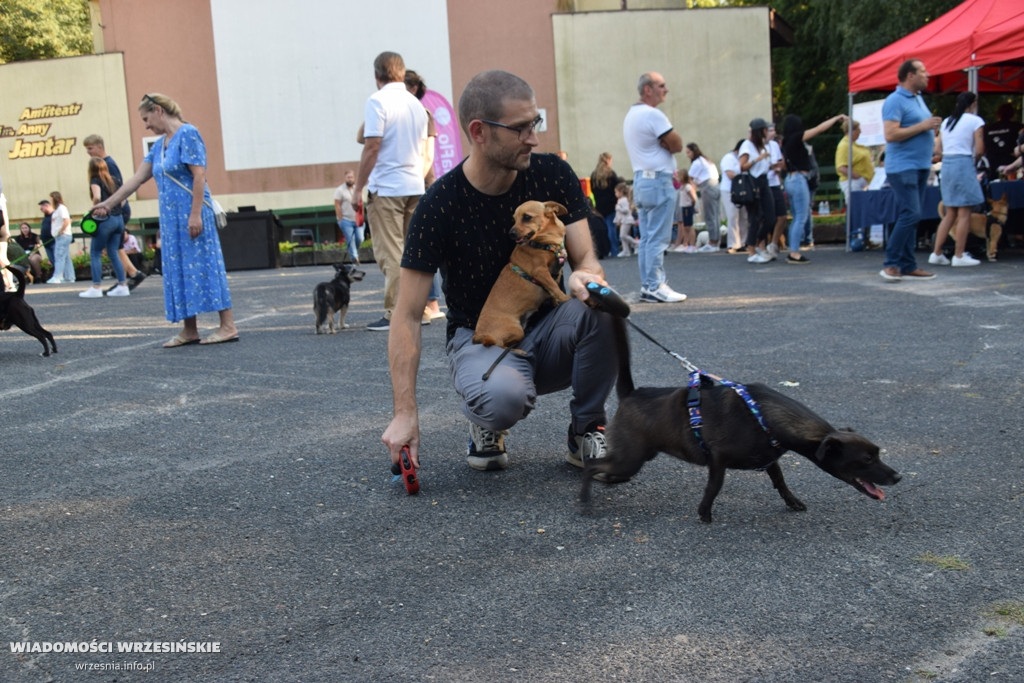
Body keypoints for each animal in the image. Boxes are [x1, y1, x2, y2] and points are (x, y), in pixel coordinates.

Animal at [468, 197, 569, 348]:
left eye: (527, 217)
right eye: (514, 219)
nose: (511, 234)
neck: (547, 242)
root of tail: (478, 335)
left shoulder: (557, 270)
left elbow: (553, 287)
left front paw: (557, 301)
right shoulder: (540, 271)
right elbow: (554, 286)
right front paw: (566, 298)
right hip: (516, 330)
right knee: (499, 345)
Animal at [581, 321, 901, 524]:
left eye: (878, 453)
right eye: (866, 459)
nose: (897, 476)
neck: (763, 417)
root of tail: (632, 394)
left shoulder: (770, 457)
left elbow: (780, 480)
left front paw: (792, 501)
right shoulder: (718, 459)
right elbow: (714, 487)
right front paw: (704, 513)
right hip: (631, 458)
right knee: (592, 466)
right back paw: (585, 500)